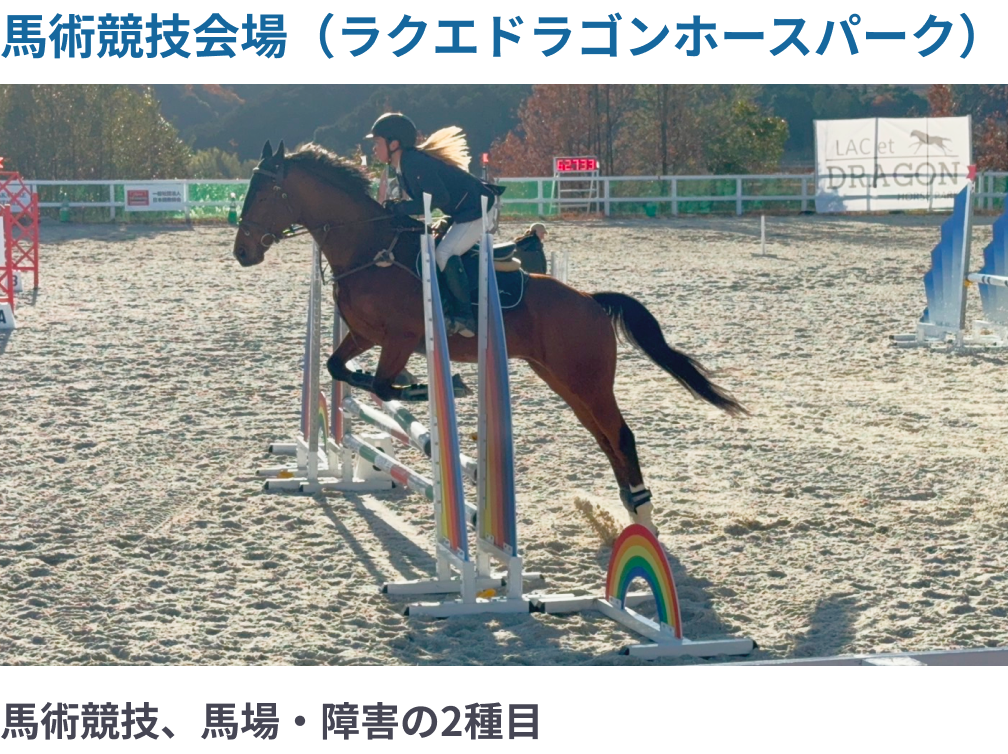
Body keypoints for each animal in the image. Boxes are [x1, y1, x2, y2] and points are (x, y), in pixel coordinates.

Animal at [232, 140, 749, 536]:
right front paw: (404, 385)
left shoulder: (400, 337)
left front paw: (432, 387)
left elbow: (381, 384)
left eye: (263, 194)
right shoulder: (363, 335)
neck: (367, 248)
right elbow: (339, 369)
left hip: (586, 381)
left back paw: (644, 516)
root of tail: (590, 300)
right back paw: (630, 509)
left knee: (620, 435)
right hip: (566, 381)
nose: (241, 254)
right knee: (605, 437)